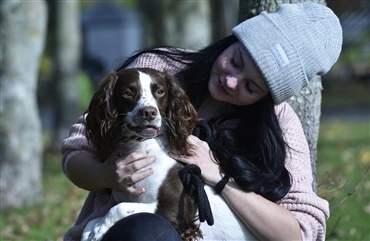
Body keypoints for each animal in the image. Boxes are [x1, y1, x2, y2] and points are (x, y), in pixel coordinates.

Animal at [81, 68, 258, 241]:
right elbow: (89, 224)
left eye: (160, 91)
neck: (144, 147)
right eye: (127, 93)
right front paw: (94, 230)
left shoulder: (177, 212)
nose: (149, 112)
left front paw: (99, 229)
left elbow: (119, 208)